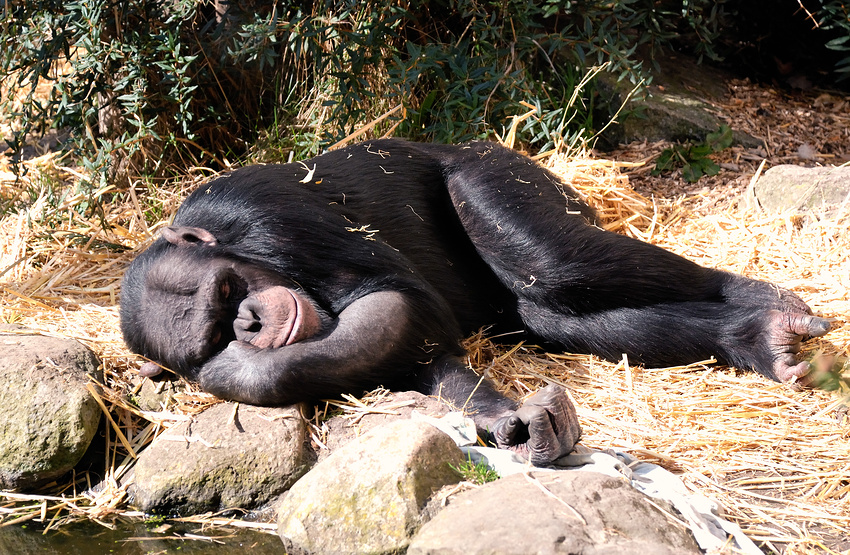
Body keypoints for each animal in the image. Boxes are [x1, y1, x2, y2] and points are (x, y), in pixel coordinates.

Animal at [117, 139, 828, 464]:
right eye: (214, 328)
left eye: (226, 289)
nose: (248, 318)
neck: (225, 236)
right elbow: (413, 345)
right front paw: (509, 418)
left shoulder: (270, 218)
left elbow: (396, 302)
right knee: (555, 312)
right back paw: (754, 340)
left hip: (497, 175)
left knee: (557, 266)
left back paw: (762, 305)